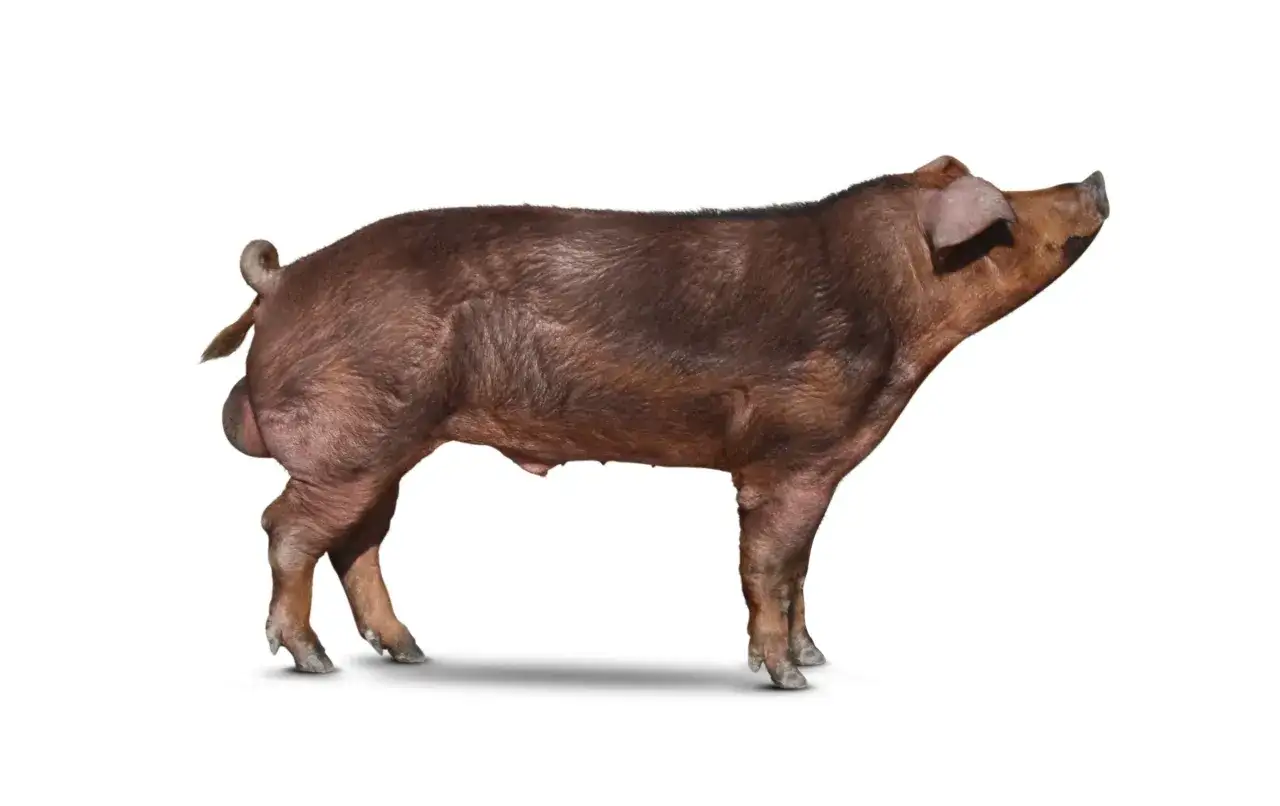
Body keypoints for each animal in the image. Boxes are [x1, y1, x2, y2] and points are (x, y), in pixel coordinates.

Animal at [201, 155, 1109, 689]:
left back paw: (409, 650)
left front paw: (815, 656)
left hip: (385, 447)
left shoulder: (822, 465)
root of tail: (282, 278)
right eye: (1009, 209)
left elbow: (802, 566)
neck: (898, 312)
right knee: (287, 527)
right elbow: (769, 565)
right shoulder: (788, 458)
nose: (1096, 174)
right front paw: (789, 679)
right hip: (351, 438)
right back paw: (313, 662)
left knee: (355, 543)